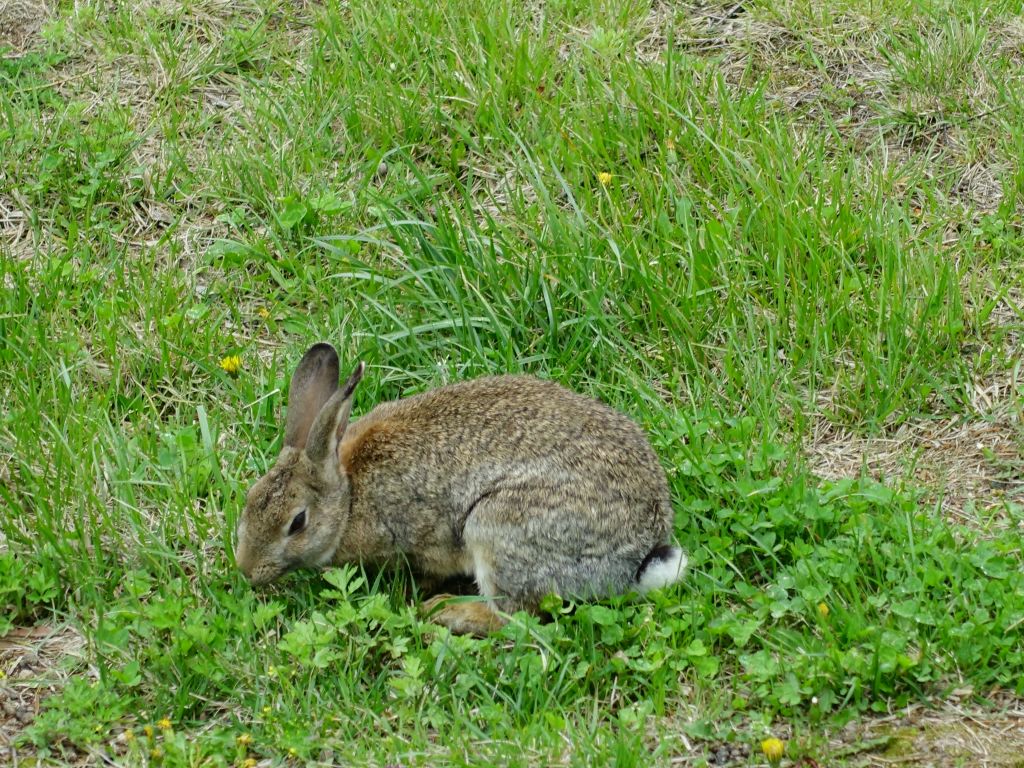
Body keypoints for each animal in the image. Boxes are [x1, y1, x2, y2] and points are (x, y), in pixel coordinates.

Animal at [236, 344, 688, 638]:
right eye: (250, 500)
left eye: (297, 523)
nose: (246, 571)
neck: (349, 493)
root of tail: (640, 555)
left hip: (498, 528)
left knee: (515, 618)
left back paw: (444, 613)